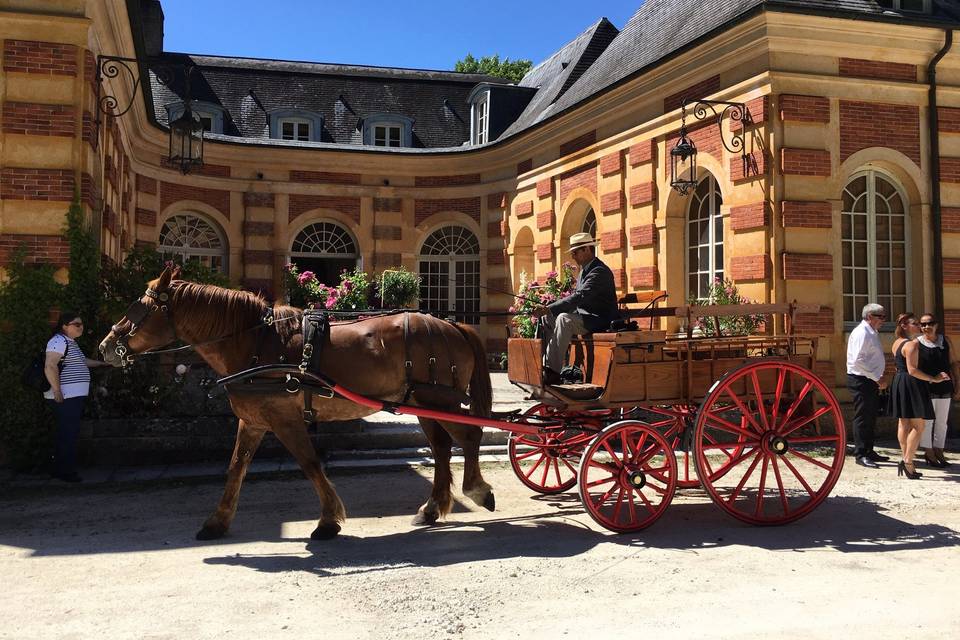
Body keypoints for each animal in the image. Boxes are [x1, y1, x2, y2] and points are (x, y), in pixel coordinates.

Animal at [98, 268, 496, 544]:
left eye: (139, 308)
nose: (104, 346)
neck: (255, 342)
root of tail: (453, 325)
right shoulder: (254, 421)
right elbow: (236, 468)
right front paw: (217, 521)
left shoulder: (284, 420)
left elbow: (309, 463)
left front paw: (329, 521)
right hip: (419, 402)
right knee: (442, 447)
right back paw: (432, 508)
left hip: (438, 399)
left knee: (469, 436)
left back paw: (477, 488)